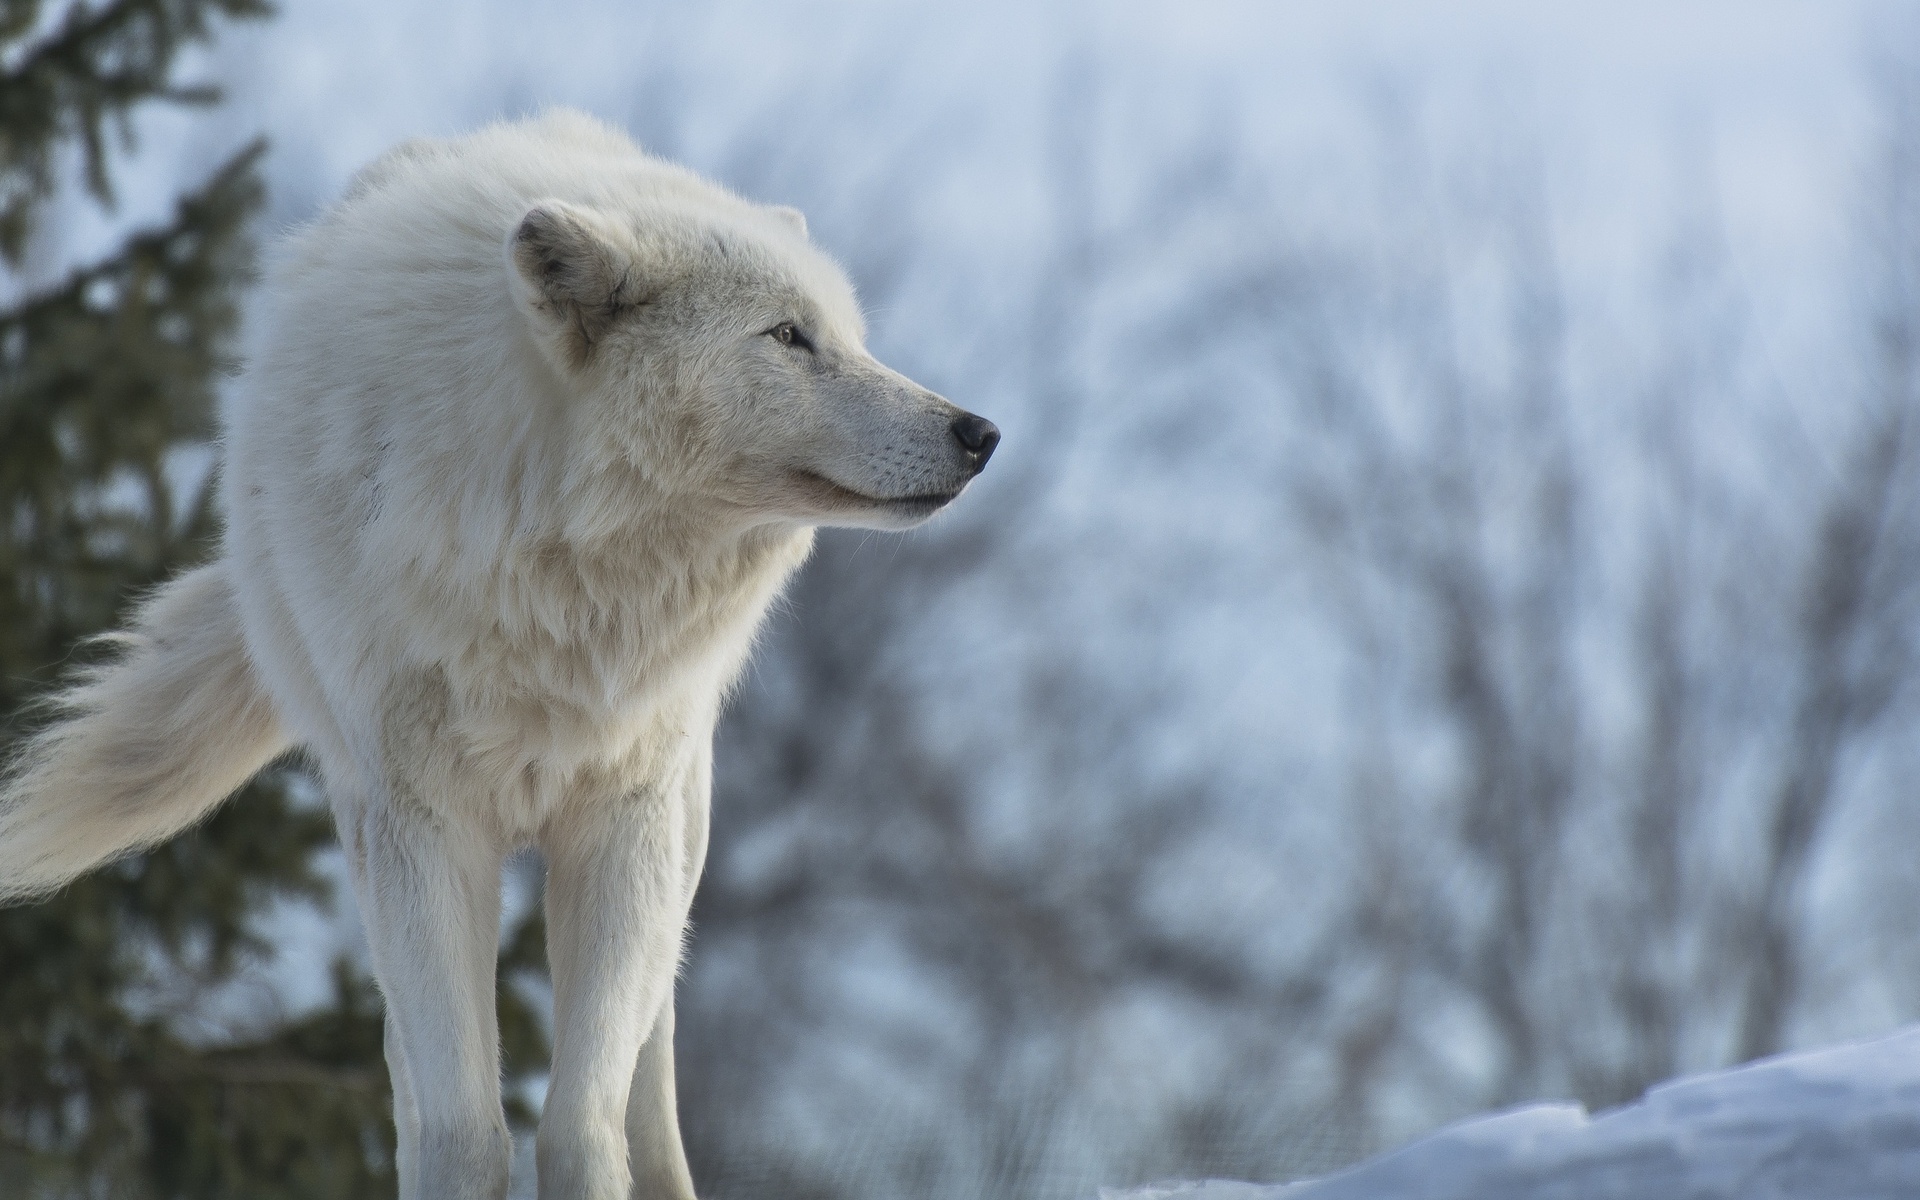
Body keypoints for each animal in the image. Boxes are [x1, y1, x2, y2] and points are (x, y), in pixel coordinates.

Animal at [0, 112, 998, 1198]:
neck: (556, 568)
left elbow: (585, 1120)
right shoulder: (423, 829)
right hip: (373, 848)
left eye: (847, 337)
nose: (980, 431)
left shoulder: (624, 821)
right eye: (788, 336)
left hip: (679, 833)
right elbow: (463, 1127)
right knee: (407, 1072)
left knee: (651, 1058)